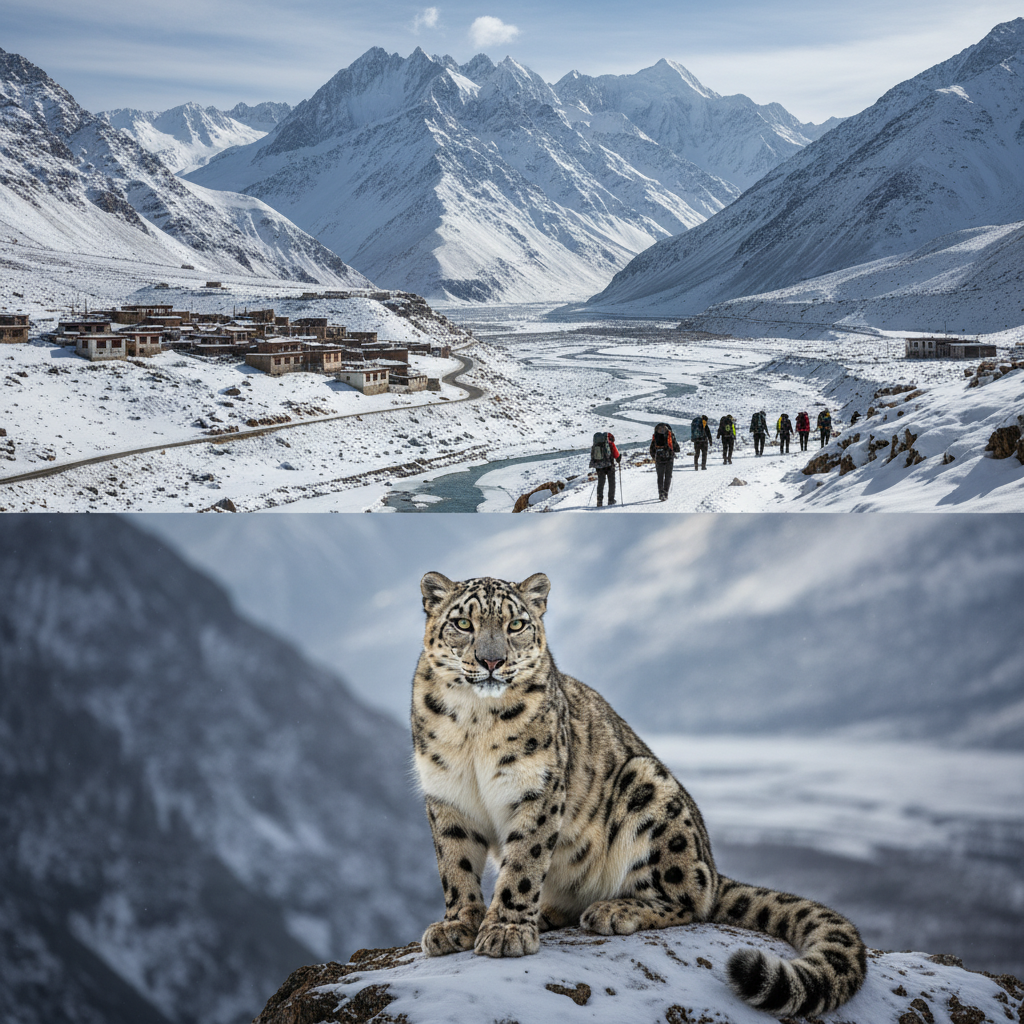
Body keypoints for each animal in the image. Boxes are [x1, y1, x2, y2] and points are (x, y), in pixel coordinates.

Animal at [411, 572, 868, 1018]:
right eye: (463, 623)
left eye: (516, 625)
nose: (492, 661)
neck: (475, 723)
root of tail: (712, 862)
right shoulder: (446, 795)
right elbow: (455, 864)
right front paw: (458, 925)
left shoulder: (537, 789)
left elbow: (524, 862)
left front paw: (506, 930)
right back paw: (549, 913)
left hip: (649, 788)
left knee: (691, 898)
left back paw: (614, 910)